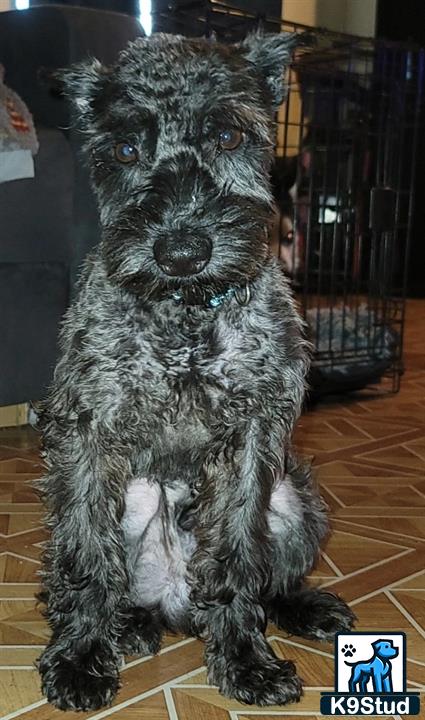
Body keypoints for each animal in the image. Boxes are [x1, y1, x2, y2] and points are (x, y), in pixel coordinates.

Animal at [37, 31, 354, 712]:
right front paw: (79, 660)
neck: (185, 316)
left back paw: (304, 608)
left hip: (295, 499)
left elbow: (236, 556)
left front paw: (244, 660)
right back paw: (126, 625)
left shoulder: (252, 439)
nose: (181, 251)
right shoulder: (87, 434)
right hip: (130, 496)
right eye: (125, 149)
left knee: (267, 581)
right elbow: (87, 555)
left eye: (229, 136)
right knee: (95, 581)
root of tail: (179, 604)